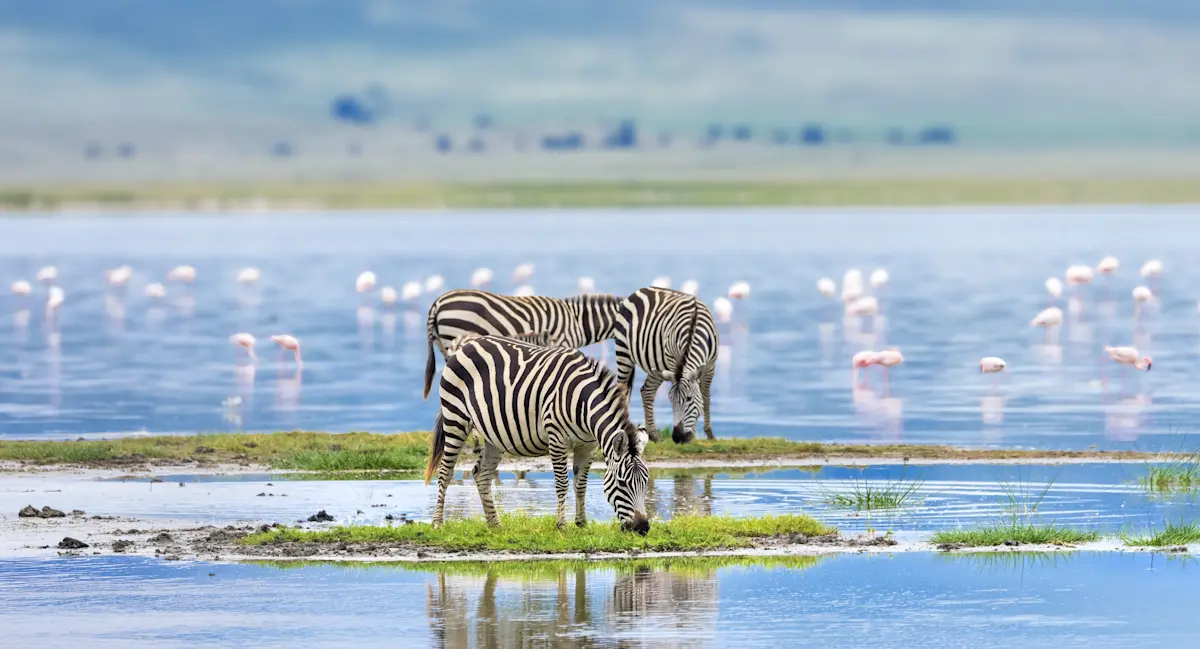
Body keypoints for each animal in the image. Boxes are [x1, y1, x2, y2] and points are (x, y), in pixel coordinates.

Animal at [423, 335, 651, 534]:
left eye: (646, 482)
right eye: (622, 483)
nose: (642, 528)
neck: (583, 404)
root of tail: (466, 345)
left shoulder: (588, 446)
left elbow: (581, 485)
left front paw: (581, 524)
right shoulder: (557, 439)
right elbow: (562, 484)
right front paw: (562, 525)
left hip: (493, 435)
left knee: (481, 474)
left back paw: (495, 524)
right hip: (456, 418)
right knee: (445, 472)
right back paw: (437, 523)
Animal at [614, 287, 718, 444]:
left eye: (689, 399)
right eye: (671, 400)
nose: (677, 437)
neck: (693, 329)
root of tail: (639, 290)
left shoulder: (710, 366)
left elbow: (705, 397)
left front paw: (709, 434)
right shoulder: (674, 363)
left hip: (656, 365)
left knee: (647, 391)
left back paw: (654, 435)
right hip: (623, 352)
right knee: (621, 389)